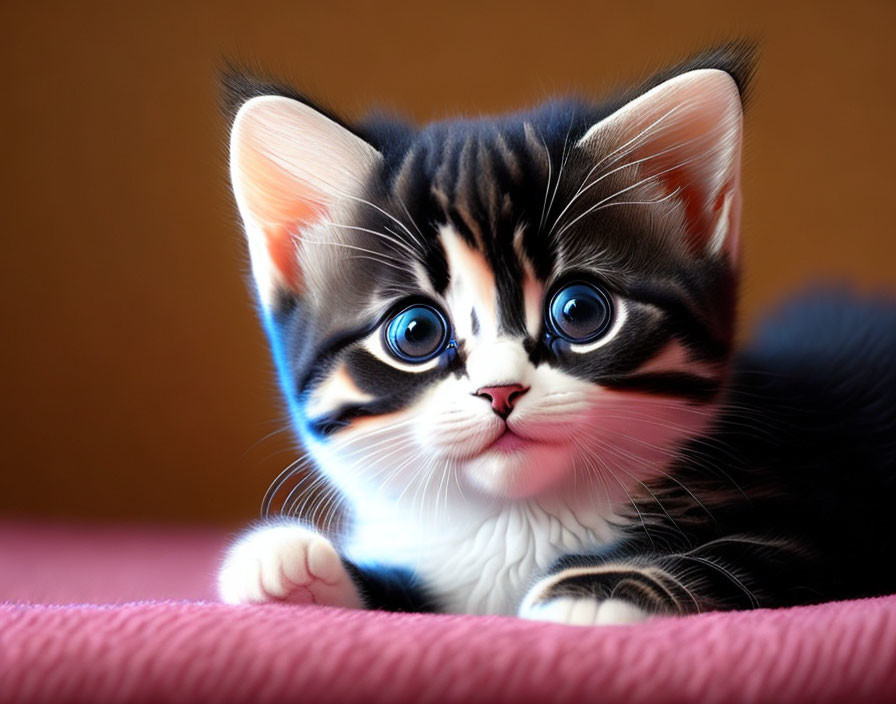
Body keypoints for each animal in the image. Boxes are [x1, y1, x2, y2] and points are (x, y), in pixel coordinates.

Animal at [217, 46, 896, 624]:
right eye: (415, 331)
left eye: (580, 312)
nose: (500, 391)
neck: (514, 524)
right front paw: (289, 563)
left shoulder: (817, 516)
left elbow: (735, 558)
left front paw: (590, 593)